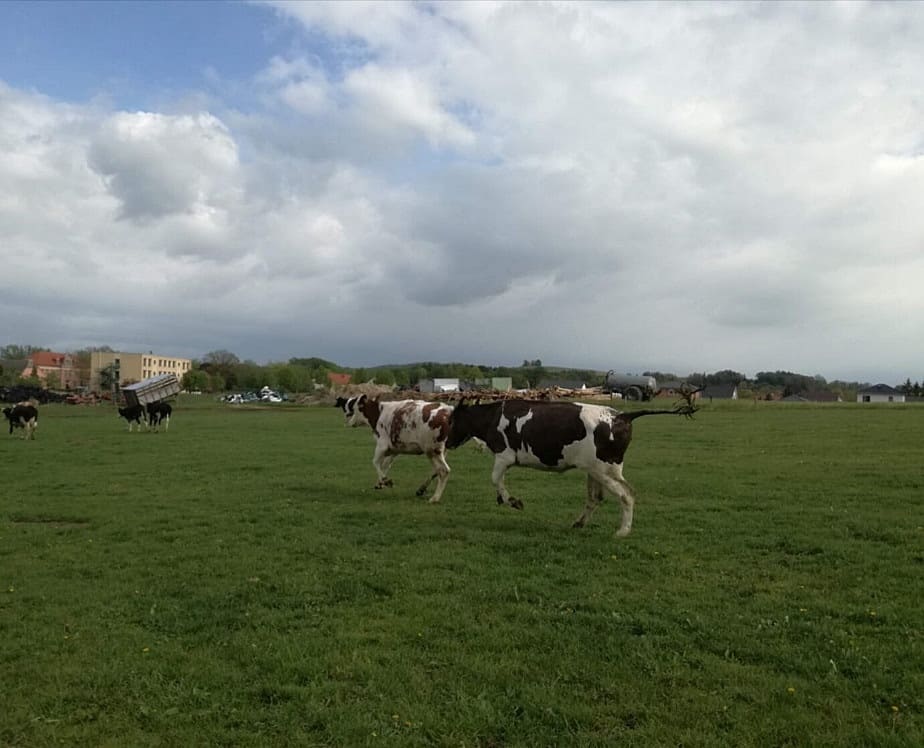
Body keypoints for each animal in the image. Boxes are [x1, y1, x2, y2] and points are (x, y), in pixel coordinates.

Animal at [446, 398, 692, 536]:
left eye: (451, 421)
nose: (446, 442)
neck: (493, 418)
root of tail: (622, 415)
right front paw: (505, 500)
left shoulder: (504, 456)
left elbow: (495, 479)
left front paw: (514, 502)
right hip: (596, 471)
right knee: (595, 499)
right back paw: (579, 523)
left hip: (604, 470)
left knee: (627, 494)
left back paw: (622, 531)